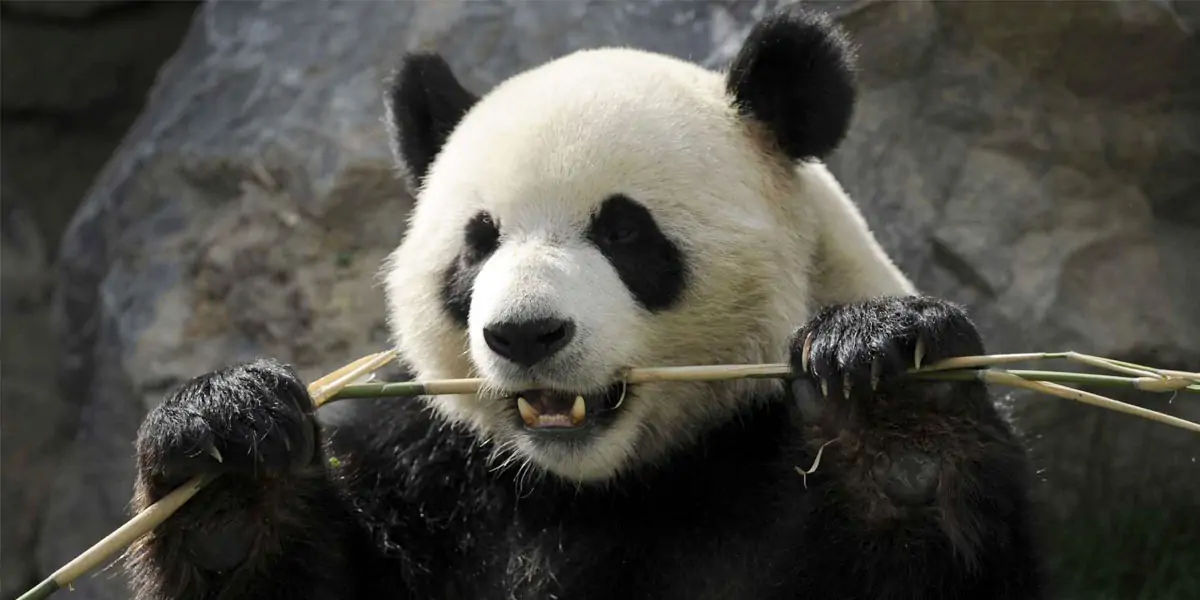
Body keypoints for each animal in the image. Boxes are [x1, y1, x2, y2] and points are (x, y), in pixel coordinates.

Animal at [128, 10, 1042, 600]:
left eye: (625, 231)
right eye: (477, 243)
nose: (525, 334)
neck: (601, 486)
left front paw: (890, 393)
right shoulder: (431, 478)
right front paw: (224, 446)